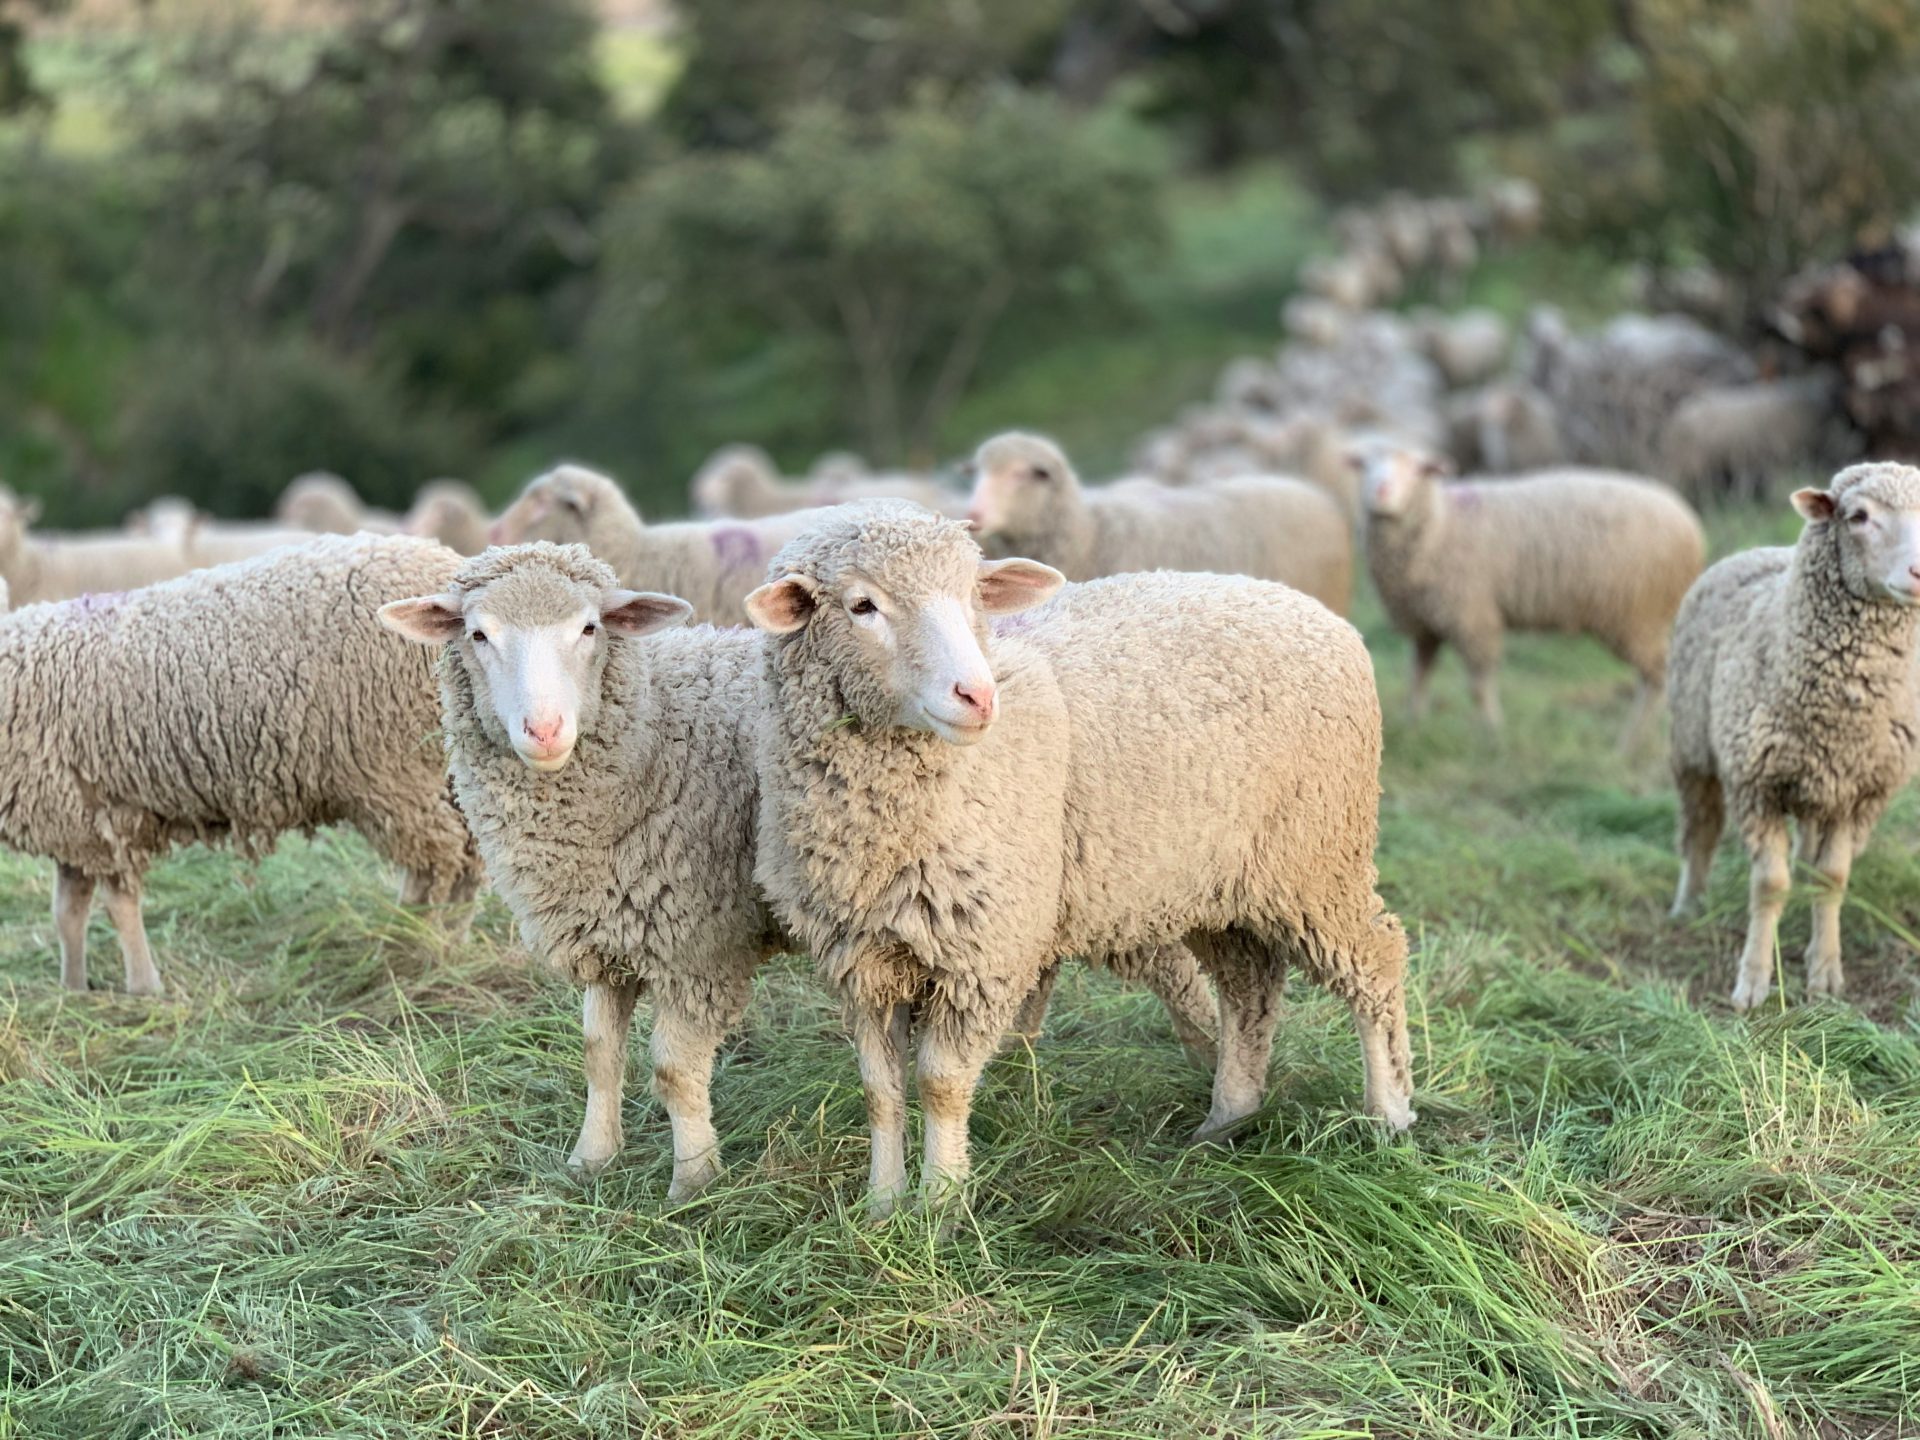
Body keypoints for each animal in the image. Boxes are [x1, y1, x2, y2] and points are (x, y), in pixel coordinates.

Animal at [0, 534, 483, 996]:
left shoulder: (104, 819)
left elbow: (118, 908)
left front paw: (142, 988)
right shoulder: (73, 821)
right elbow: (67, 913)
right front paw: (73, 990)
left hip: (395, 771)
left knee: (437, 863)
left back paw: (412, 940)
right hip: (440, 770)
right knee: (468, 856)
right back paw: (447, 938)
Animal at [379, 542, 1219, 1194]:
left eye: (589, 628)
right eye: (478, 634)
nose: (545, 729)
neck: (651, 734)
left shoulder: (698, 943)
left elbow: (673, 1069)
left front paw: (694, 1180)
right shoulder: (606, 931)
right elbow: (597, 1053)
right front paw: (591, 1158)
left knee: (1182, 978)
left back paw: (1213, 1079)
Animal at [746, 502, 1412, 1208]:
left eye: (973, 596)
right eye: (862, 606)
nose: (977, 696)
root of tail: (1316, 612)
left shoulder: (984, 952)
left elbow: (940, 1085)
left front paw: (941, 1205)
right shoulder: (861, 959)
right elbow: (881, 1090)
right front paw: (881, 1204)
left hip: (1318, 857)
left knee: (1375, 962)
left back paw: (1388, 1117)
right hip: (1220, 879)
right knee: (1249, 988)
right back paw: (1227, 1118)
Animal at [1355, 444, 1705, 743]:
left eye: (1417, 469)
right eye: (1365, 467)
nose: (1380, 491)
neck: (1440, 525)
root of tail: (1690, 524)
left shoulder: (1472, 616)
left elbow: (1479, 685)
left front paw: (1492, 733)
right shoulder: (1426, 625)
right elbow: (1418, 677)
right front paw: (1414, 725)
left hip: (1636, 615)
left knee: (1657, 677)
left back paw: (1630, 743)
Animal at [1668, 465, 1920, 1009]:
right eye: (1858, 516)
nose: (1919, 573)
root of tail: (1758, 549)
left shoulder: (1857, 791)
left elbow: (1832, 877)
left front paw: (1825, 971)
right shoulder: (1755, 784)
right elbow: (1769, 884)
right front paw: (1753, 981)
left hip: (1817, 785)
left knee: (1806, 850)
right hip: (1690, 748)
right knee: (1699, 829)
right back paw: (1688, 904)